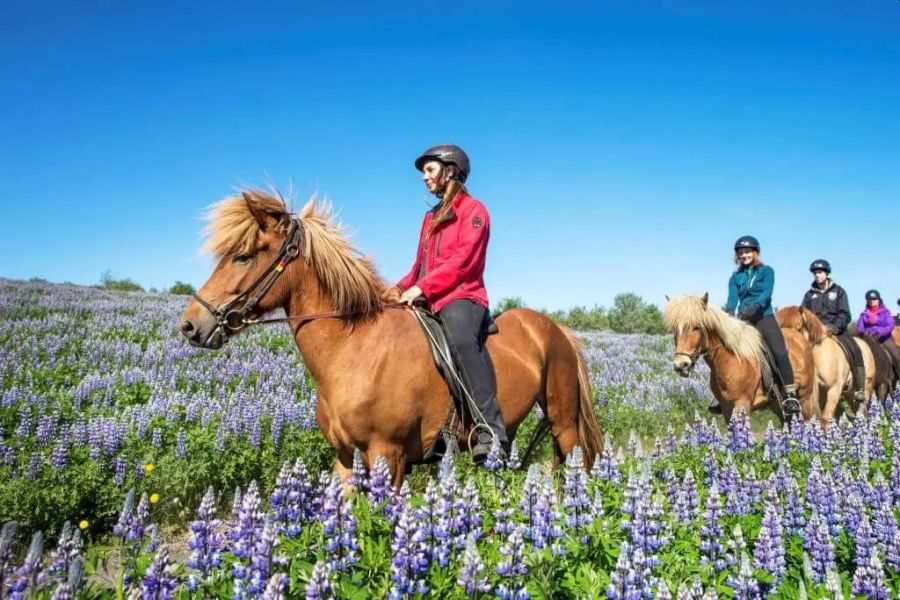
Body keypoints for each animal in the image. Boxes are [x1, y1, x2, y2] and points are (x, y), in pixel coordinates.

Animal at [178, 190, 600, 486]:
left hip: (564, 422)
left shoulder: (389, 456)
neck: (354, 349)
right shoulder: (346, 459)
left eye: (243, 256)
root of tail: (556, 330)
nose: (190, 325)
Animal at [660, 292, 816, 424]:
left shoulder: (742, 403)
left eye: (696, 327)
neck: (730, 361)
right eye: (674, 328)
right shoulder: (726, 407)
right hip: (776, 404)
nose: (681, 365)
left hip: (805, 398)